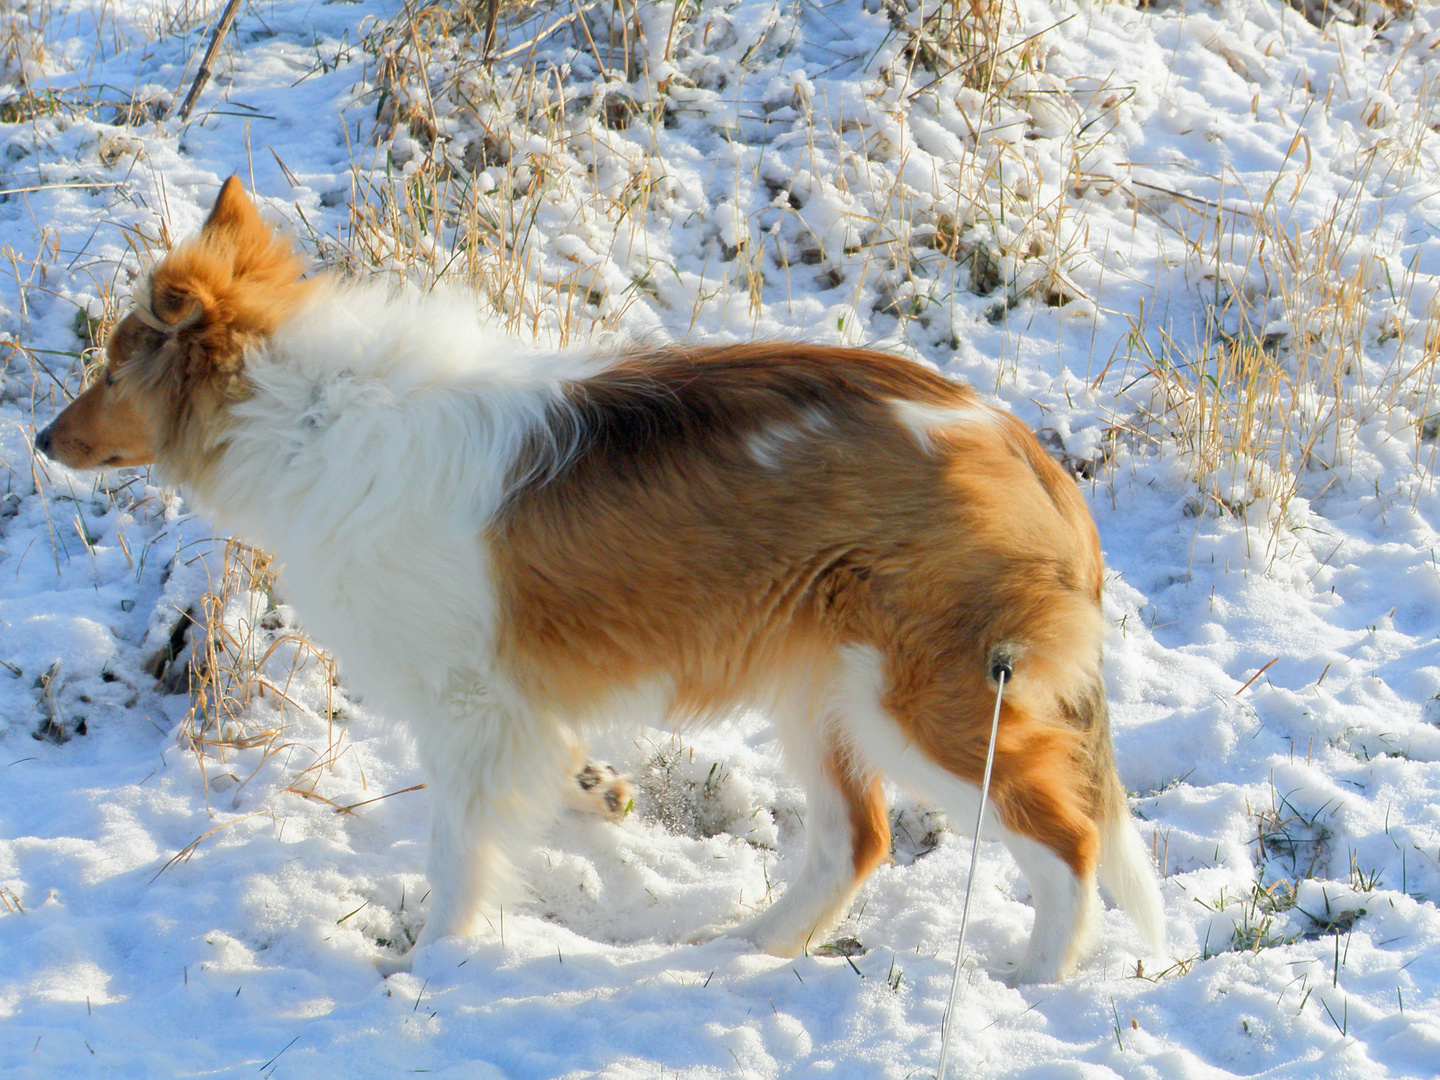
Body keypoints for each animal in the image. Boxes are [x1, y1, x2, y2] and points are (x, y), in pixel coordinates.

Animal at [33, 180, 1163, 990]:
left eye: (114, 368)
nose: (42, 440)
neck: (303, 408)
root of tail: (1022, 446)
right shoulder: (515, 713)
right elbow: (561, 783)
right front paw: (600, 796)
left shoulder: (469, 706)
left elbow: (457, 849)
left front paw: (433, 966)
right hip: (820, 690)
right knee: (858, 840)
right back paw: (740, 952)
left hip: (920, 698)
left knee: (1067, 839)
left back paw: (1035, 980)